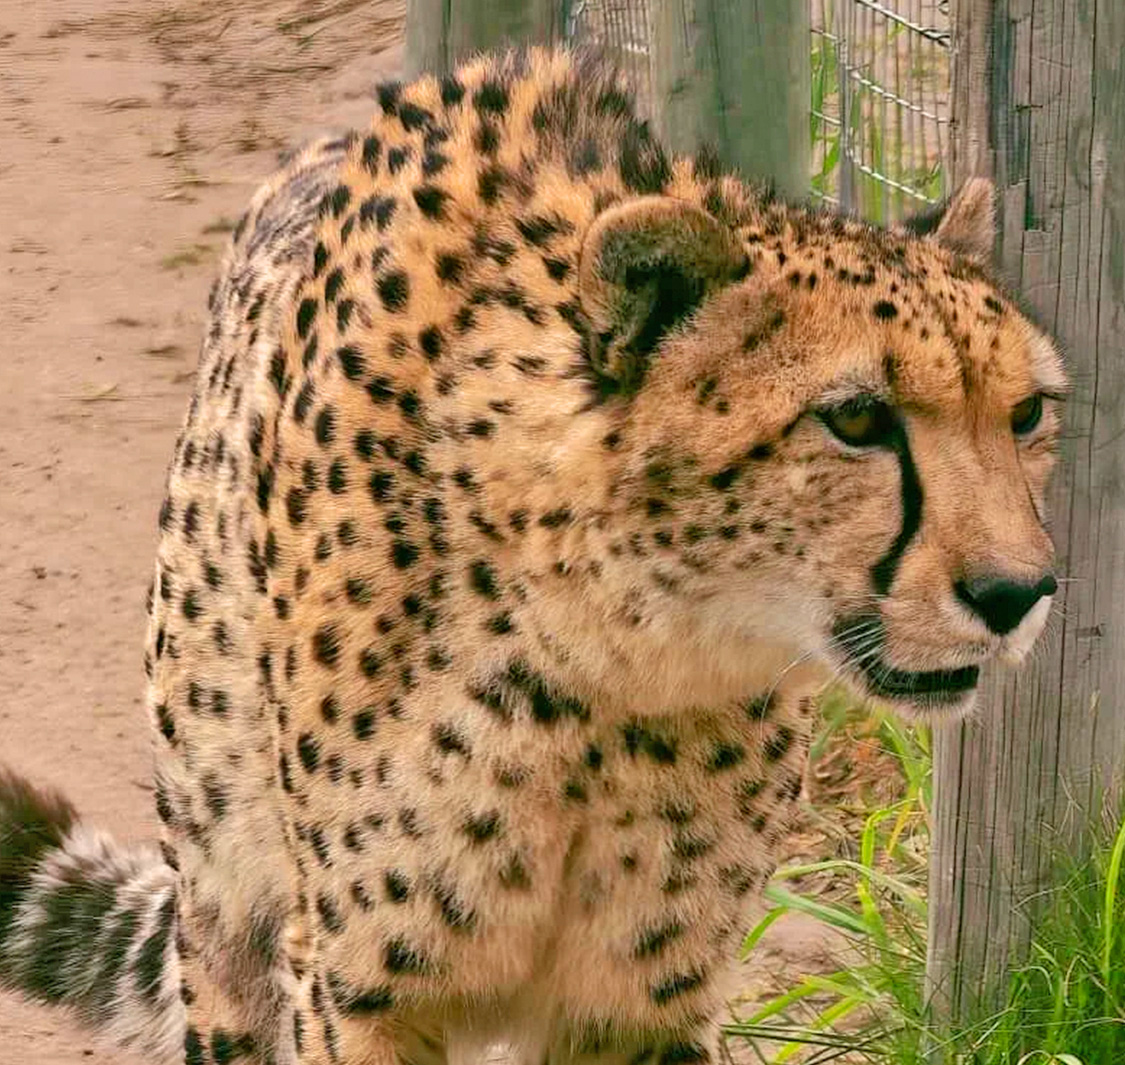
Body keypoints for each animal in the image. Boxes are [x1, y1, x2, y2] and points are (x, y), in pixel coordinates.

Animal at [0, 46, 1065, 1065]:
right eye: (855, 419)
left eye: (1025, 413)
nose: (1017, 592)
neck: (608, 665)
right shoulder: (357, 984)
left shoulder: (640, 1002)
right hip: (225, 891)